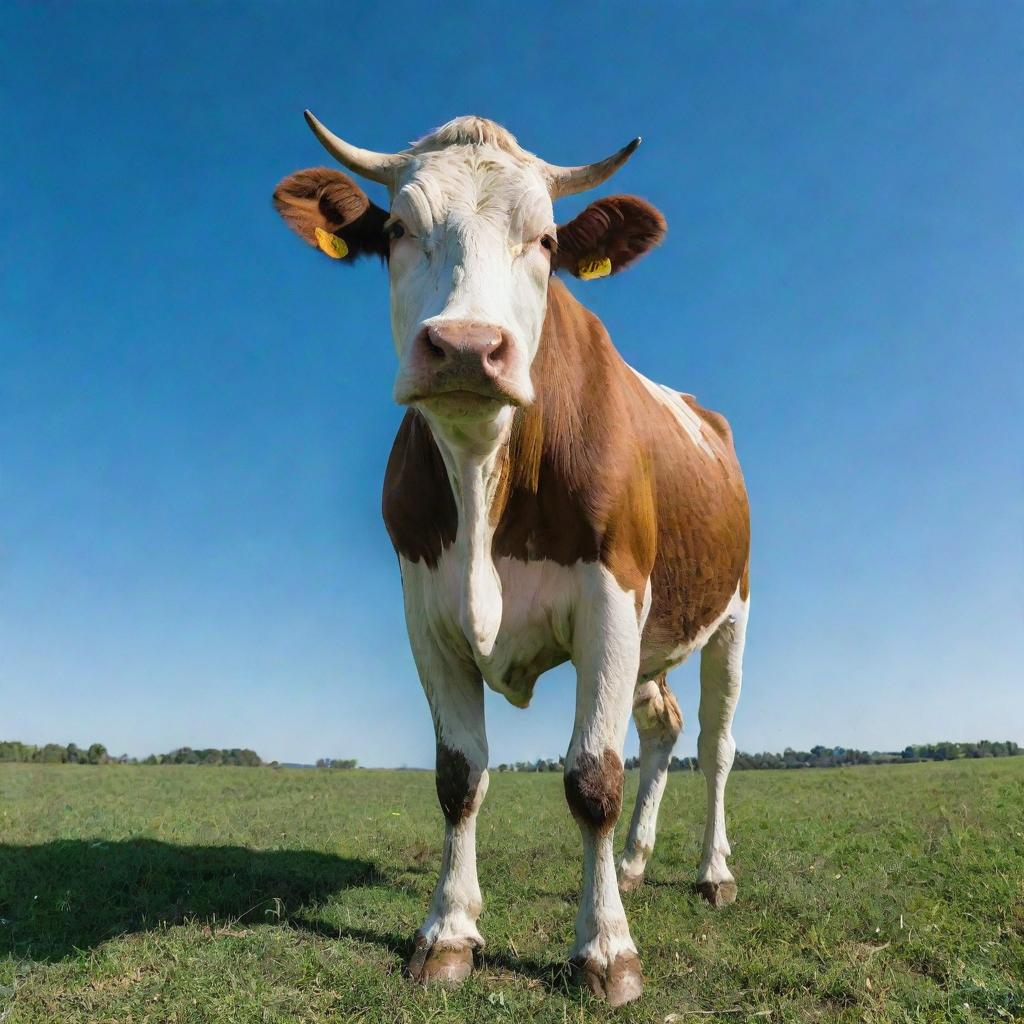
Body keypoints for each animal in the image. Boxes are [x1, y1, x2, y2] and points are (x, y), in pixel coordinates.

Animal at [274, 114, 753, 1007]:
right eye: (397, 230)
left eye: (547, 239)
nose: (466, 346)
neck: (482, 470)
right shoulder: (425, 613)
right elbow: (459, 776)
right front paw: (448, 930)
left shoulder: (611, 600)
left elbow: (592, 778)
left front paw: (605, 950)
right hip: (655, 637)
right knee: (663, 729)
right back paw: (634, 864)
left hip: (730, 614)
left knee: (715, 744)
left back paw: (712, 873)